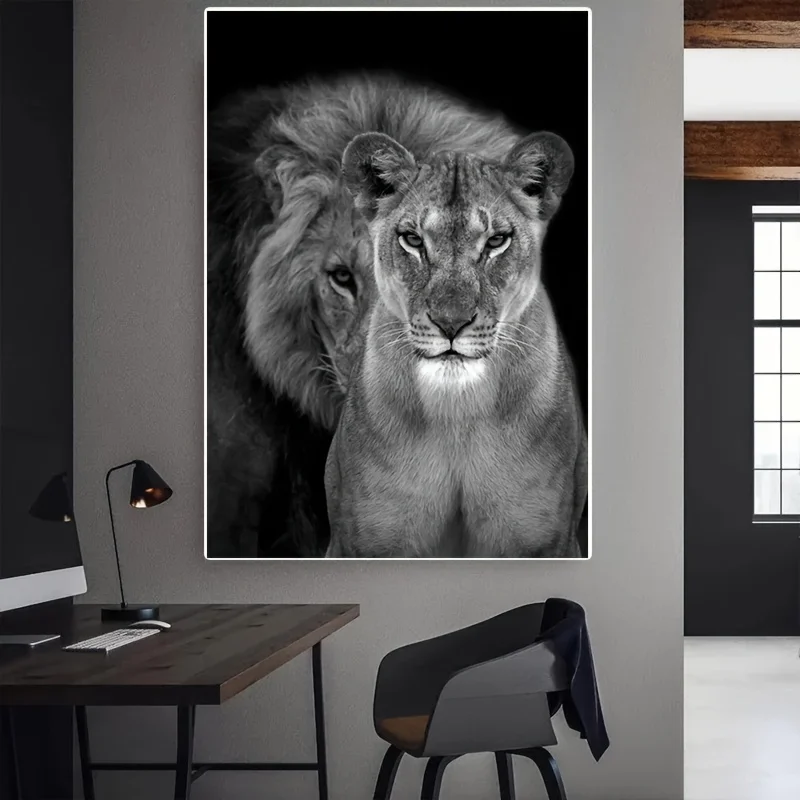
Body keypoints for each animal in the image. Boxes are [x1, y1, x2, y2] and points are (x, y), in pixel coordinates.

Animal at [324, 131, 587, 558]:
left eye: (496, 241)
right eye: (413, 240)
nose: (451, 323)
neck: (456, 413)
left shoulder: (549, 542)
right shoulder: (362, 543)